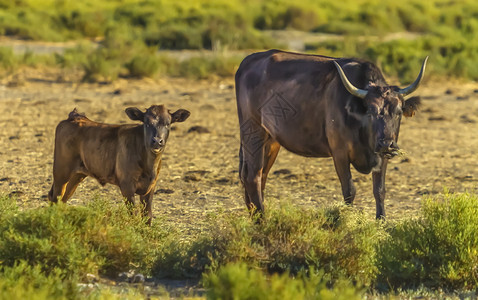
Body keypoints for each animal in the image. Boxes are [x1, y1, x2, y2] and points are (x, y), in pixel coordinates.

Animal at [47, 104, 190, 224]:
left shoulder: (150, 187)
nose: (157, 141)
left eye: (168, 124)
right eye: (147, 123)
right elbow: (133, 215)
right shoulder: (127, 186)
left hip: (77, 175)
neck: (149, 164)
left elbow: (147, 217)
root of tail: (75, 116)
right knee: (55, 198)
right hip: (61, 172)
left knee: (62, 199)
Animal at [235, 48, 426, 218]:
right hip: (253, 133)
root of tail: (250, 60)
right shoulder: (340, 154)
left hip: (271, 141)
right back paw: (262, 220)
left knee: (260, 176)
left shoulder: (382, 156)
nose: (386, 143)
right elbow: (349, 190)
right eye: (371, 112)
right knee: (252, 176)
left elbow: (379, 190)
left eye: (398, 112)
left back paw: (256, 216)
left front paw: (382, 222)